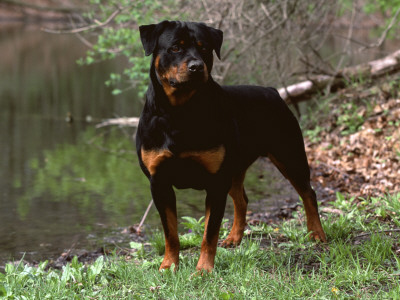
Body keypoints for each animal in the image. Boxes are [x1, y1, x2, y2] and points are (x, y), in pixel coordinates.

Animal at [136, 19, 326, 274]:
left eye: (204, 48)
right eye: (175, 47)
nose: (196, 66)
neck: (180, 113)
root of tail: (272, 91)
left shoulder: (216, 181)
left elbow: (209, 233)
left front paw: (204, 269)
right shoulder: (159, 182)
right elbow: (170, 233)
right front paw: (169, 265)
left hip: (289, 155)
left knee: (308, 193)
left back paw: (316, 233)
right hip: (236, 167)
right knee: (241, 199)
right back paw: (235, 237)